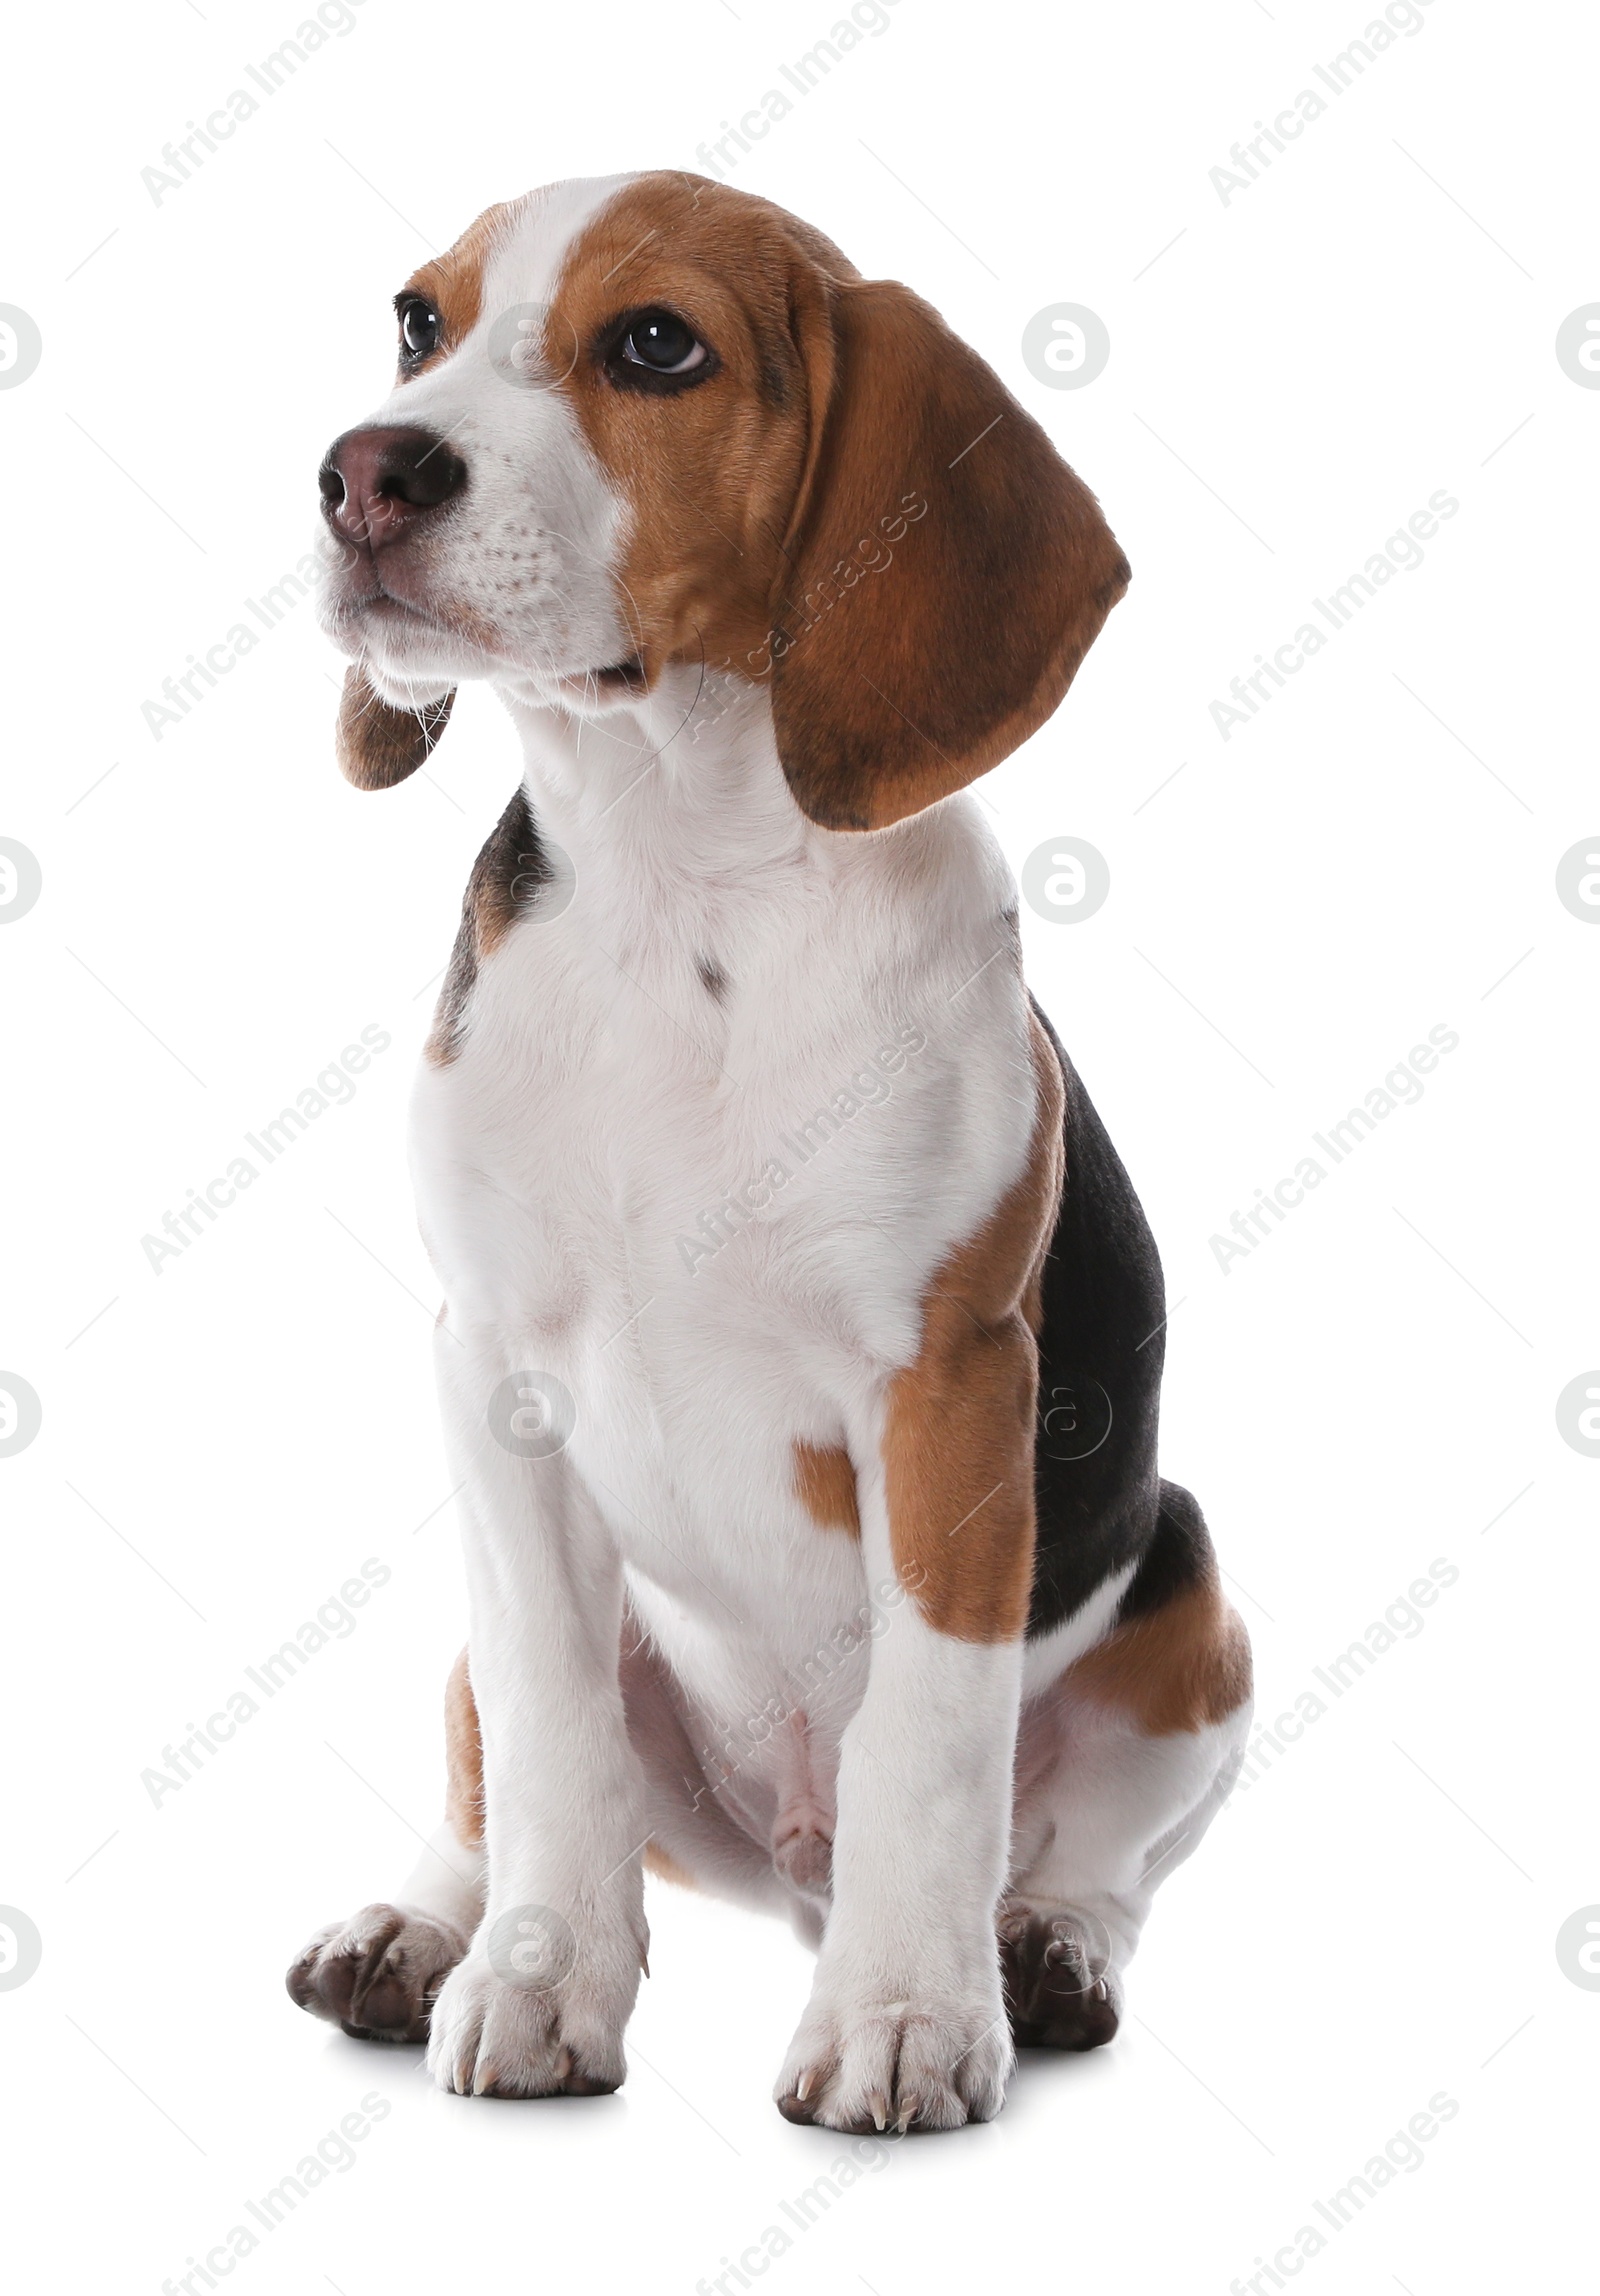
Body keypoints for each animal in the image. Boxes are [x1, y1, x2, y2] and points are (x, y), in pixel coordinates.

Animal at [293, 174, 1257, 2130]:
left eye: (659, 344)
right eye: (419, 321)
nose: (361, 472)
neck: (682, 878)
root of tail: (784, 1856)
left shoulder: (952, 1383)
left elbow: (934, 1737)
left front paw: (906, 2016)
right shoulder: (490, 1376)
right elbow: (551, 1730)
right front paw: (537, 1981)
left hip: (1196, 1612)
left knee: (1096, 1843)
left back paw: (1039, 1947)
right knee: (493, 1762)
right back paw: (424, 1925)